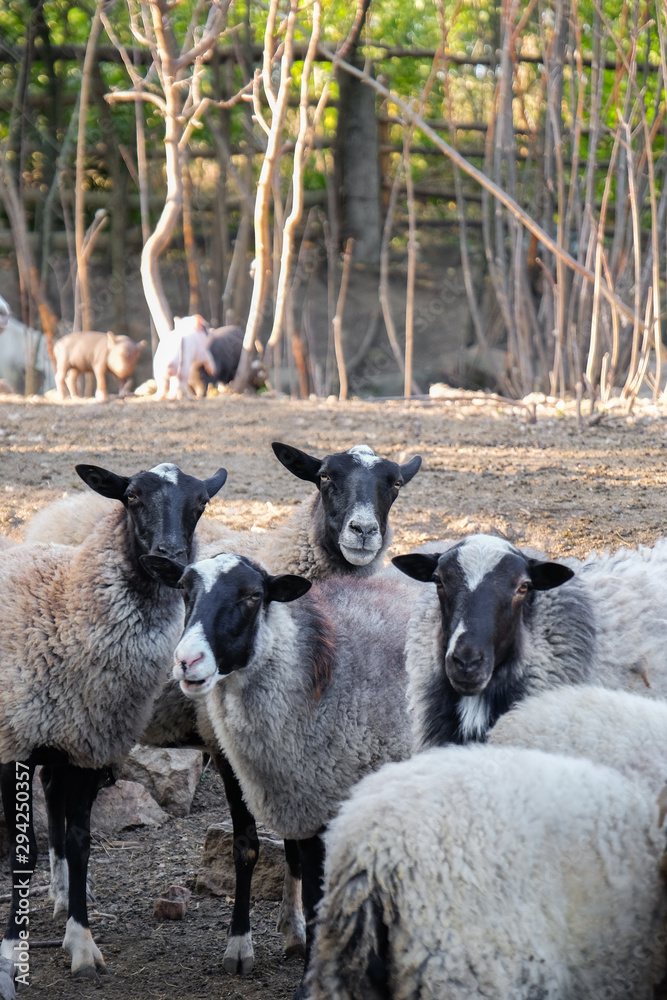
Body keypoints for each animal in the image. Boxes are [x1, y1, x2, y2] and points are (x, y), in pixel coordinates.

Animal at [0, 458, 227, 976]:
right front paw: (10, 949)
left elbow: (80, 841)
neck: (67, 607)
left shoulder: (88, 743)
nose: (169, 556)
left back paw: (64, 892)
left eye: (201, 503)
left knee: (53, 799)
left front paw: (81, 943)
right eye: (132, 497)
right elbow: (21, 853)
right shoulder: (14, 746)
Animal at [143, 556, 414, 992]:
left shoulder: (325, 800)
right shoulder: (273, 782)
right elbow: (251, 851)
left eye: (254, 596)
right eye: (184, 588)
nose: (187, 661)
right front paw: (243, 947)